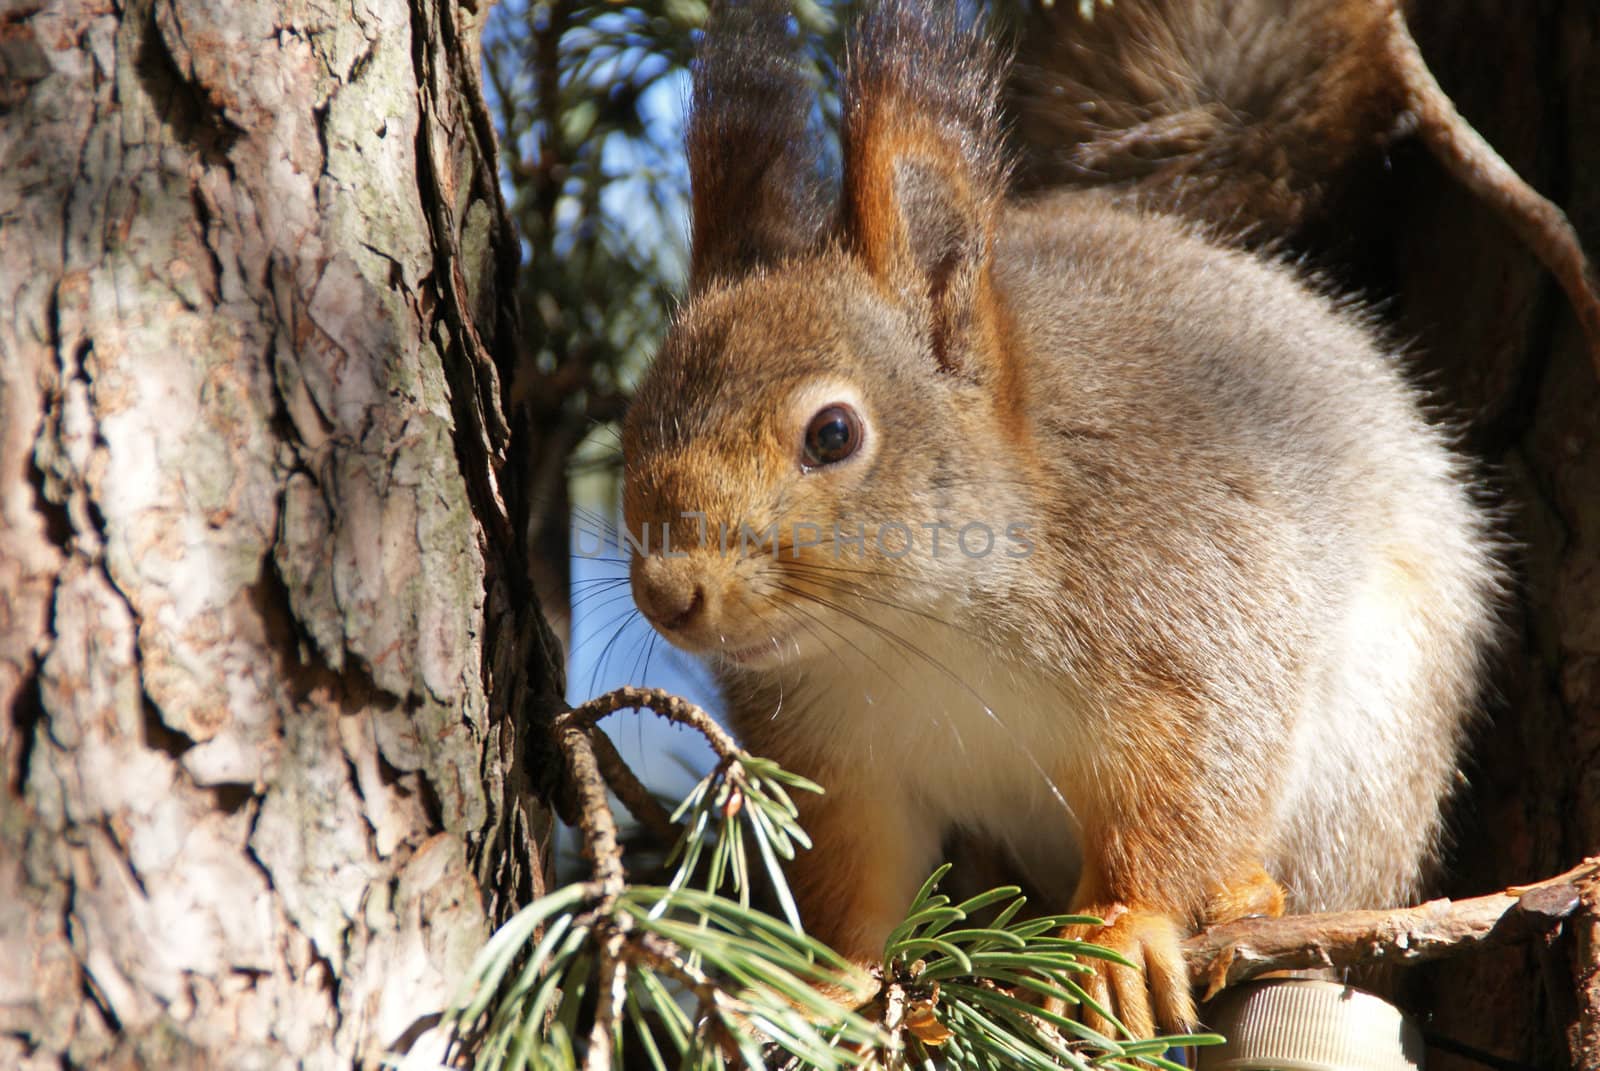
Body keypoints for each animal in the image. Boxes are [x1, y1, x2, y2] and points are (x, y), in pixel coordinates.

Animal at [614, 0, 1510, 1037]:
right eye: (633, 417)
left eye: (833, 433)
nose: (670, 592)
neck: (924, 627)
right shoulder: (837, 758)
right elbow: (860, 880)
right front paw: (838, 984)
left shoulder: (1187, 615)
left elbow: (1186, 788)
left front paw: (1120, 929)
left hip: (1372, 763)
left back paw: (1249, 894)